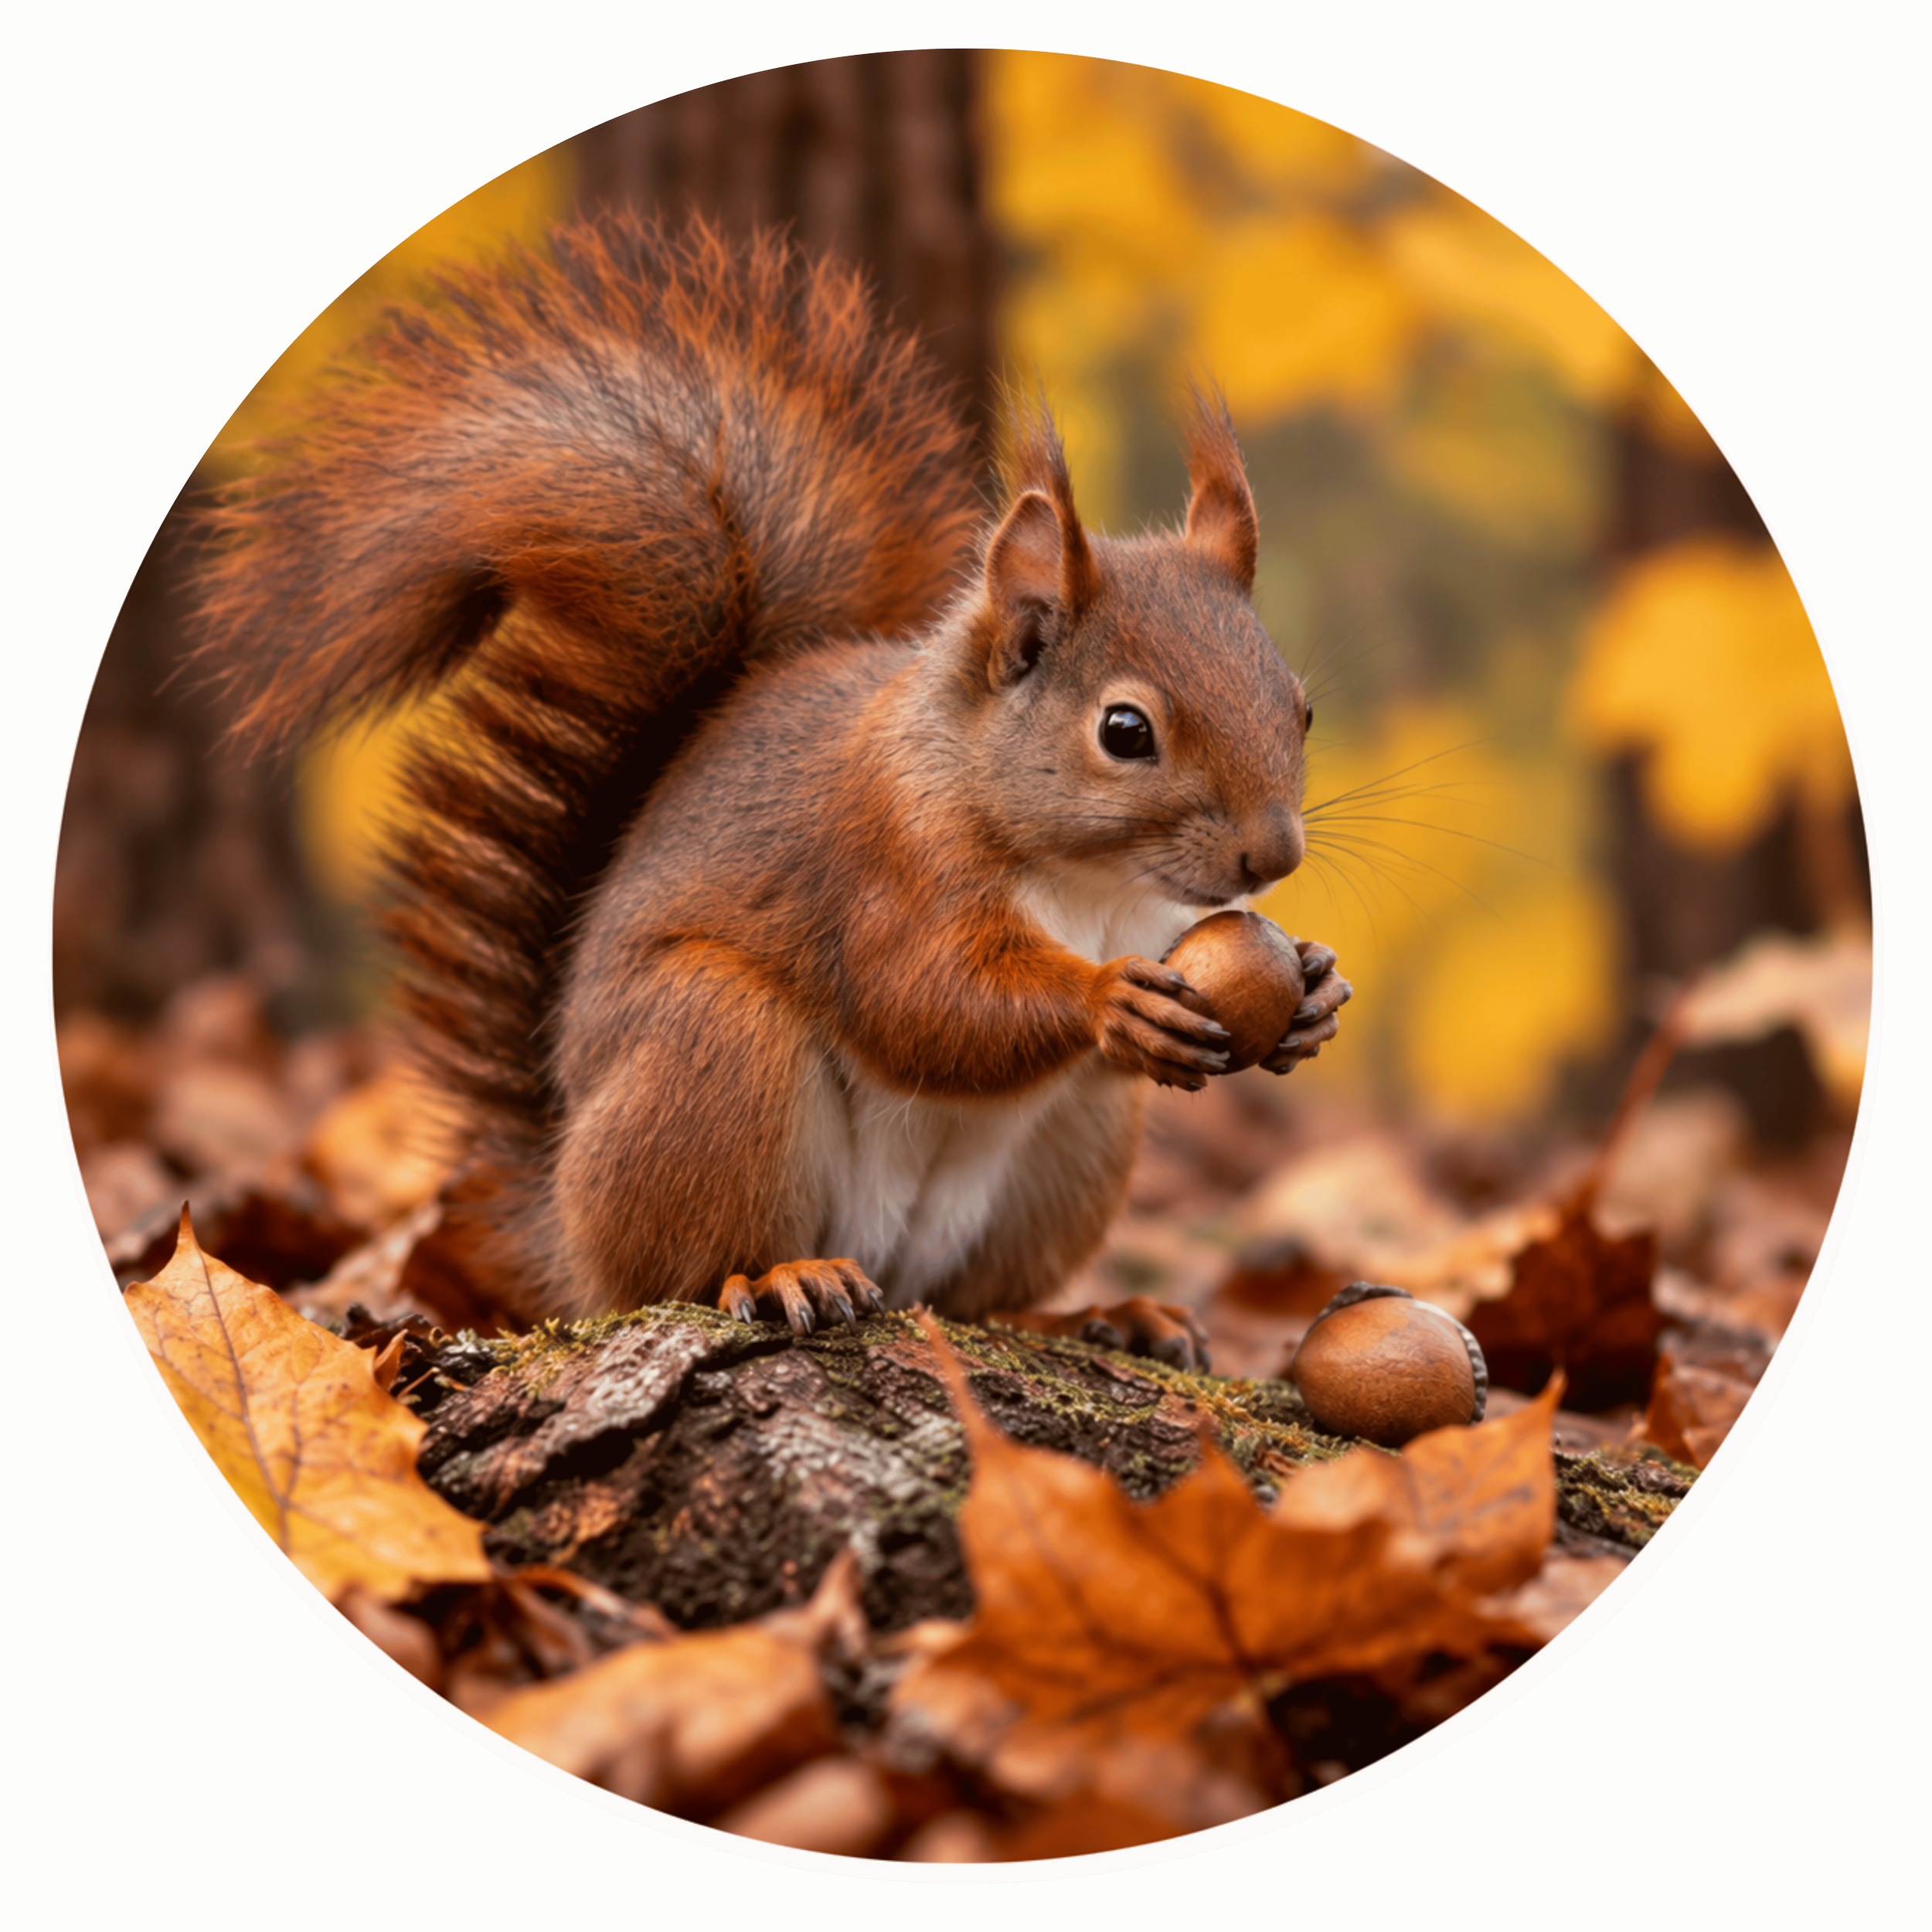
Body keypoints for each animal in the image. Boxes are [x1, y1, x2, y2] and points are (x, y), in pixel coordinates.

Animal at [195, 216, 1352, 1366]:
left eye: (1300, 708)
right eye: (1125, 732)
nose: (1274, 857)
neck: (1092, 883)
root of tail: (563, 1225)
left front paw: (1312, 988)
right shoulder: (883, 866)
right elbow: (922, 1002)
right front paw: (1108, 997)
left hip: (1067, 1159)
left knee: (980, 1299)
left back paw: (1097, 1315)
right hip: (712, 1049)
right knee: (686, 1269)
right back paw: (781, 1276)